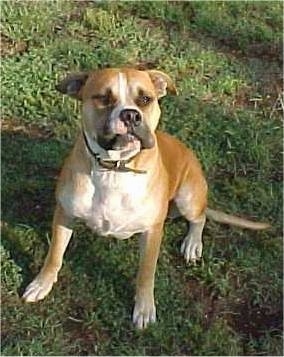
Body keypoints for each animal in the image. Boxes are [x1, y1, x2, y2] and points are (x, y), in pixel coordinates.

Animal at [22, 67, 268, 328]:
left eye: (145, 99)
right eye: (103, 98)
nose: (131, 115)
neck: (115, 168)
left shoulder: (152, 231)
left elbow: (146, 273)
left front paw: (144, 308)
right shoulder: (65, 214)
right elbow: (54, 254)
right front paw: (42, 283)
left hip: (188, 197)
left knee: (199, 218)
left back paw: (192, 244)